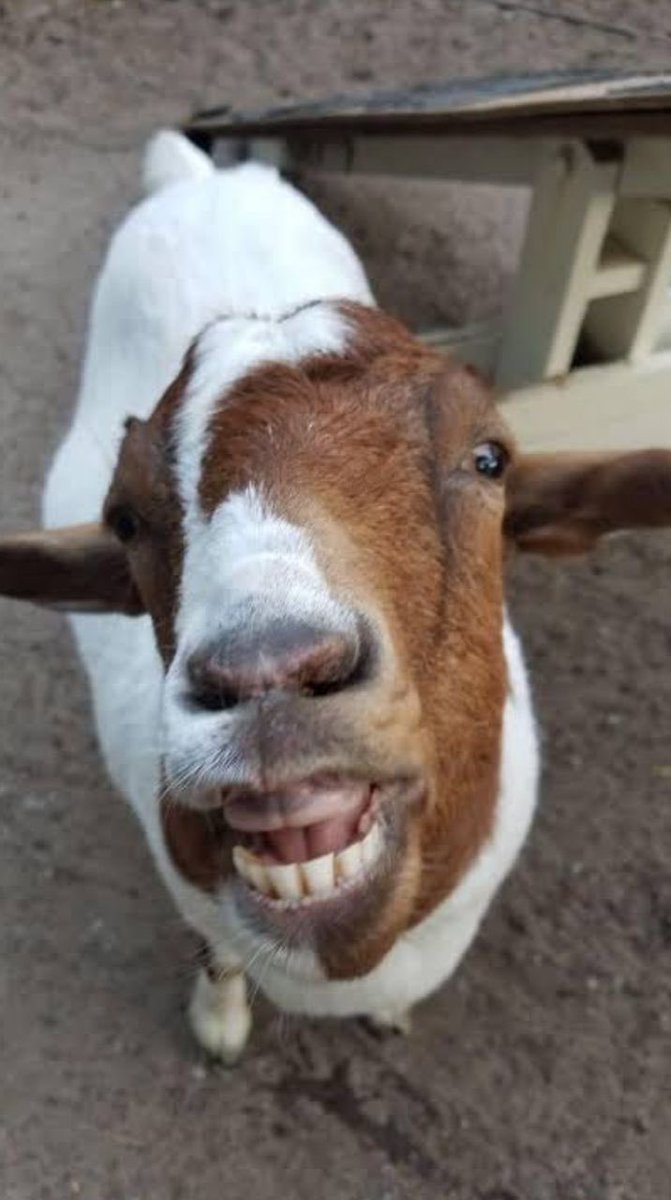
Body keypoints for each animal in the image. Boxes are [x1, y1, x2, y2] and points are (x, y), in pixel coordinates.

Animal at [2, 131, 670, 1063]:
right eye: (124, 515)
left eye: (489, 458)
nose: (266, 674)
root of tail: (206, 178)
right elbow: (215, 952)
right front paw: (219, 1024)